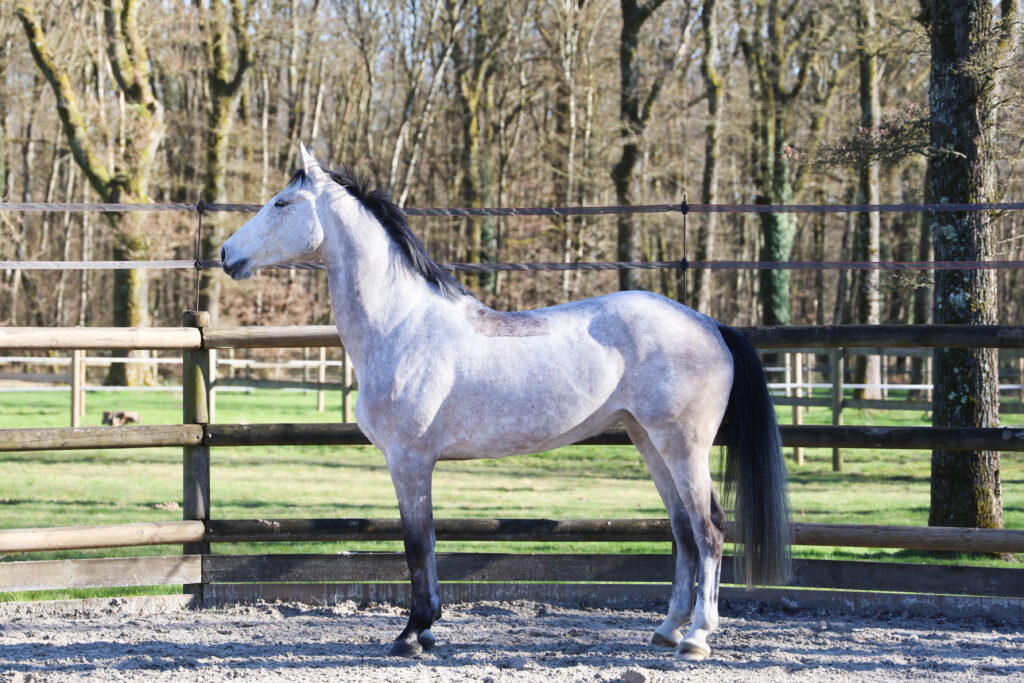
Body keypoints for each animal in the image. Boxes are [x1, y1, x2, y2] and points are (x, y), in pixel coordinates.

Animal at [220, 143, 791, 661]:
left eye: (283, 202)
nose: (226, 255)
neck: (401, 326)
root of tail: (710, 324)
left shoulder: (409, 460)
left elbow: (416, 544)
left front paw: (413, 633)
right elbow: (426, 543)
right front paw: (426, 631)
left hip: (683, 447)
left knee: (709, 529)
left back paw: (697, 638)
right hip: (649, 442)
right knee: (683, 534)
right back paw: (668, 630)